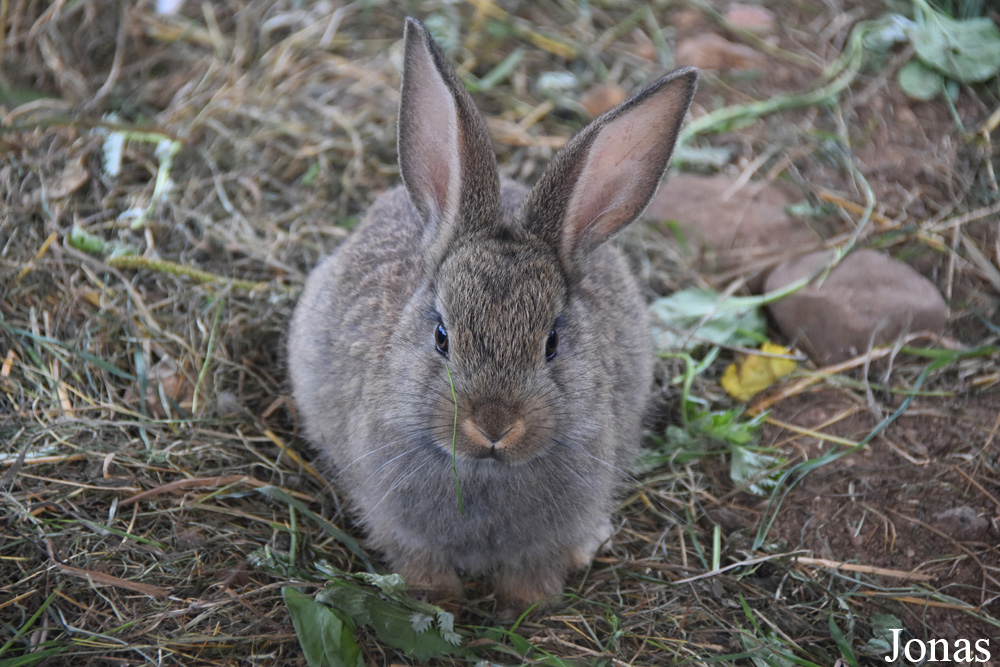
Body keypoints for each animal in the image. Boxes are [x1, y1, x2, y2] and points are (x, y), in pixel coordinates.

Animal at [288, 17, 696, 612]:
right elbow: (424, 570)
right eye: (441, 336)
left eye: (552, 343)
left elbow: (533, 575)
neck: (484, 470)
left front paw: (524, 607)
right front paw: (441, 603)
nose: (494, 426)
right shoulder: (400, 525)